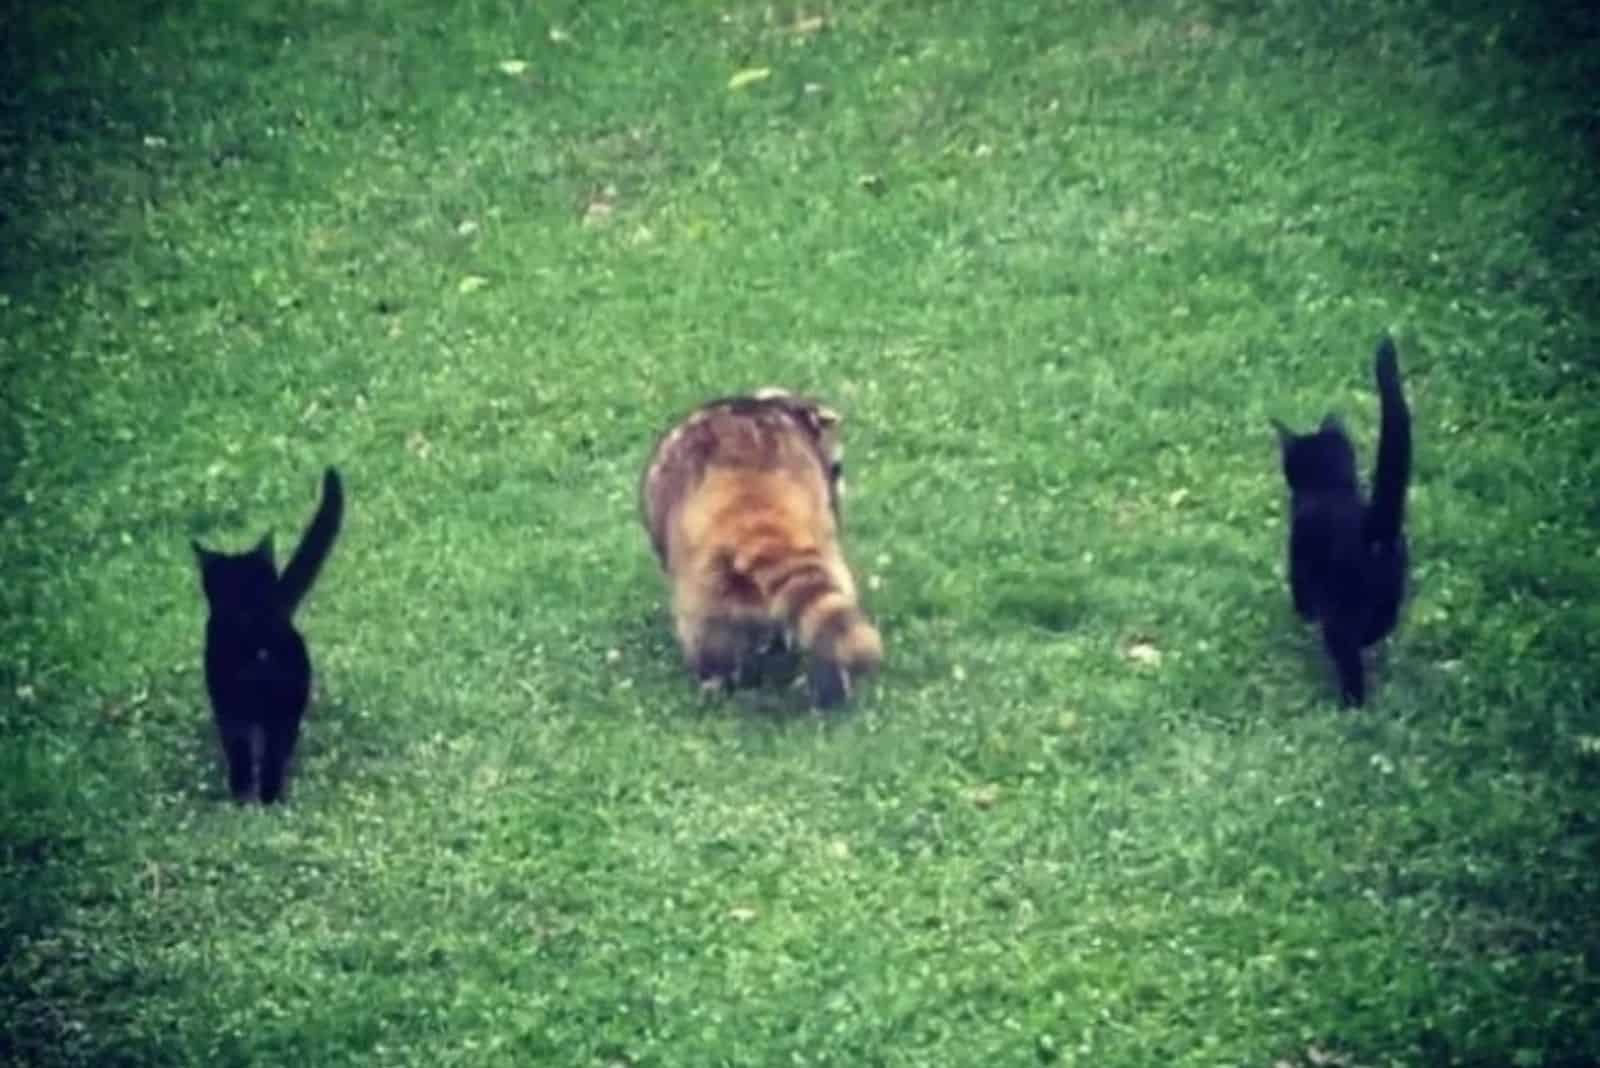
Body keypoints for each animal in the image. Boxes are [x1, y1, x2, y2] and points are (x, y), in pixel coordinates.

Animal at [1273, 340, 1414, 709]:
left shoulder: (1298, 553)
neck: (1332, 487)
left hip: (1340, 610)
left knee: (1346, 650)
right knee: (1381, 625)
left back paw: (1351, 703)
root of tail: (1374, 528)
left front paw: (1303, 615)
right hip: (1393, 589)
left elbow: (1300, 591)